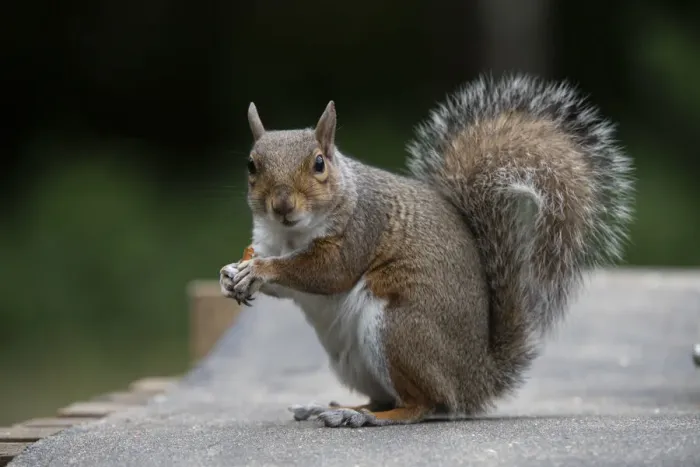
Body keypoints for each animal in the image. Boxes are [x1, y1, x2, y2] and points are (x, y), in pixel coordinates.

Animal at [219, 74, 635, 428]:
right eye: (251, 165)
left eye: (319, 163)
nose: (282, 206)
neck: (290, 236)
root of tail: (475, 380)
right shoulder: (267, 239)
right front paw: (231, 275)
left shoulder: (361, 228)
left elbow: (328, 272)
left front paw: (261, 271)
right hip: (355, 359)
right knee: (387, 398)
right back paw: (333, 407)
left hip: (398, 331)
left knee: (422, 405)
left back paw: (364, 417)